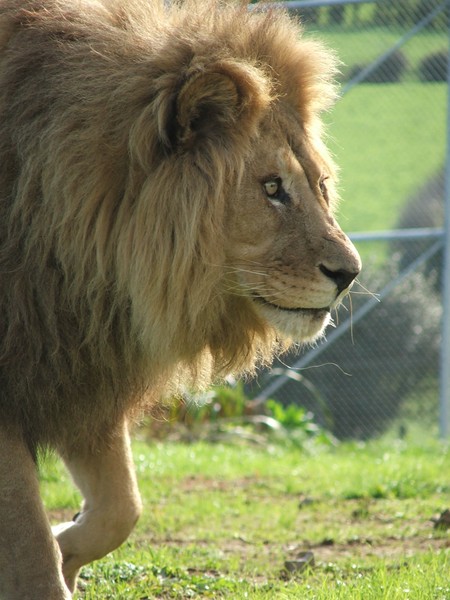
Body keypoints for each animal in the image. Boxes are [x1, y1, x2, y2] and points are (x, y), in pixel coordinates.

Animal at [0, 0, 360, 596]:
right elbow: (29, 551)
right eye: (271, 187)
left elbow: (122, 508)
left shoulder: (78, 358)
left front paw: (65, 544)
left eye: (320, 185)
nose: (350, 274)